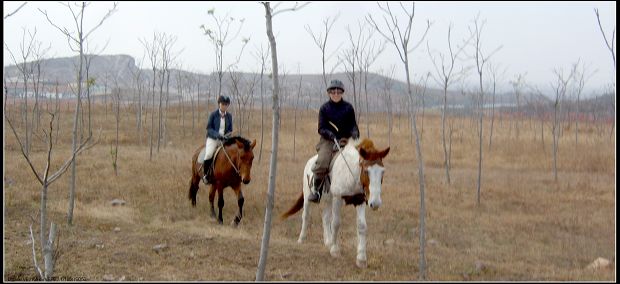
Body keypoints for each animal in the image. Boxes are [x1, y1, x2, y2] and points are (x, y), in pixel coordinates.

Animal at [280, 139, 388, 268]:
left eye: (382, 172)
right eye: (367, 171)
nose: (375, 203)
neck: (349, 172)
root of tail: (309, 162)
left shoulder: (359, 200)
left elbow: (362, 226)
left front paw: (361, 259)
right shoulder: (337, 198)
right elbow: (336, 223)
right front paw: (335, 251)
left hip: (328, 200)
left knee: (325, 217)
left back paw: (328, 241)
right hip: (308, 198)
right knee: (306, 216)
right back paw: (301, 239)